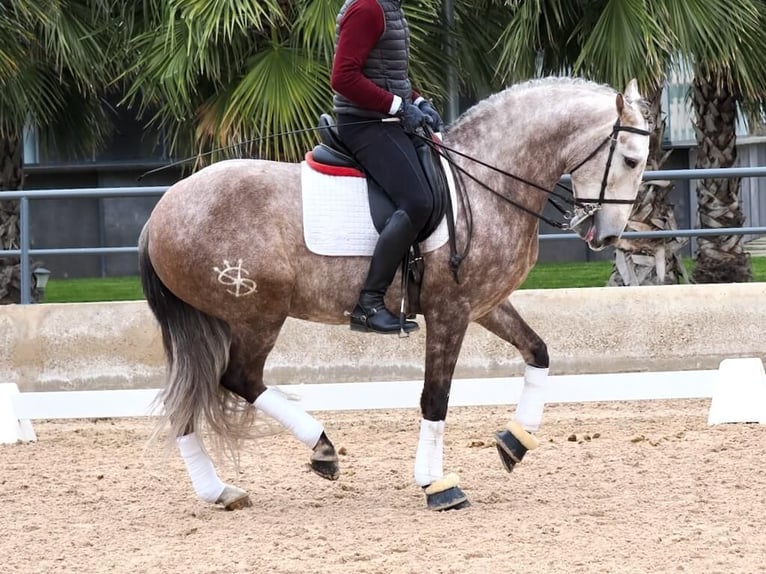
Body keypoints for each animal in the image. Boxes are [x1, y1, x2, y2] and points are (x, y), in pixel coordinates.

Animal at [140, 76, 656, 512]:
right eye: (631, 160)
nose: (608, 237)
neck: (487, 183)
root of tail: (162, 209)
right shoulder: (450, 312)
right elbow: (436, 397)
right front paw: (436, 485)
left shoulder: (485, 306)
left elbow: (539, 352)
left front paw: (514, 442)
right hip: (257, 314)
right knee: (239, 379)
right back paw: (321, 449)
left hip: (212, 321)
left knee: (189, 397)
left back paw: (219, 490)